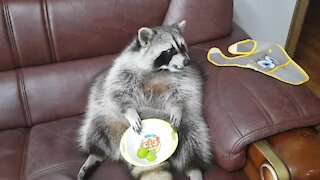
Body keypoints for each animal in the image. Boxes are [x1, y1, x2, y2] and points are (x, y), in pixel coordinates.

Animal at [77, 20, 212, 179]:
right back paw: (95, 154)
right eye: (170, 50)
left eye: (182, 46)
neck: (161, 70)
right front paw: (130, 111)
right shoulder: (122, 70)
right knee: (96, 130)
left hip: (187, 124)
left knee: (193, 139)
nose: (187, 62)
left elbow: (184, 93)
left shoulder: (187, 77)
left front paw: (177, 108)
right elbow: (116, 91)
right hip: (107, 119)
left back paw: (194, 168)